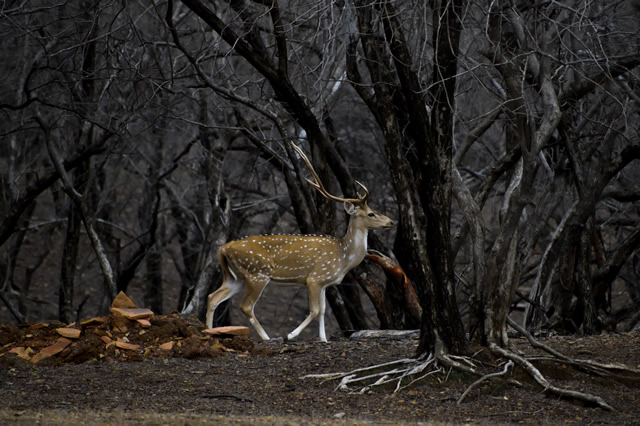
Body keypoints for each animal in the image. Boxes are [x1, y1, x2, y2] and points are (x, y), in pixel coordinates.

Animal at [206, 144, 396, 342]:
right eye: (371, 213)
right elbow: (315, 311)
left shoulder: (324, 284)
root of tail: (223, 248)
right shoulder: (315, 278)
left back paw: (210, 332)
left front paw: (323, 339)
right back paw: (267, 337)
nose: (391, 222)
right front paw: (291, 335)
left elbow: (323, 311)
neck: (344, 256)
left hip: (236, 276)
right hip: (256, 274)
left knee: (213, 297)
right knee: (246, 306)